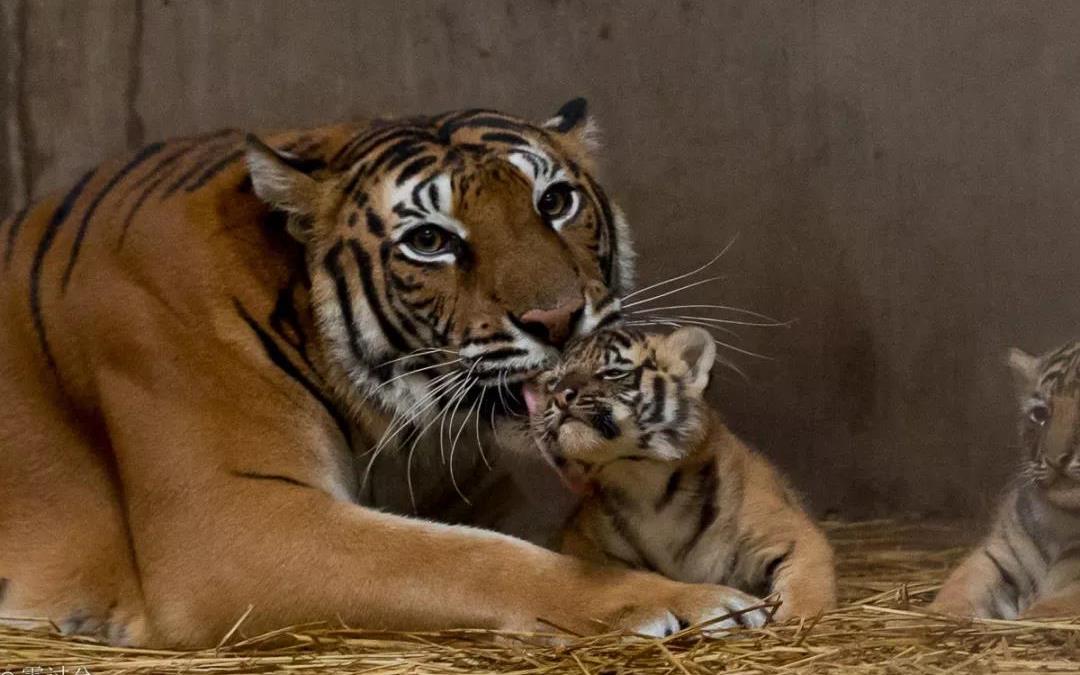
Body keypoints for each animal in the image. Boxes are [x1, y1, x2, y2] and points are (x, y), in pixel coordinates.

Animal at [0, 98, 760, 643]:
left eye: (553, 202)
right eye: (430, 241)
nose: (557, 319)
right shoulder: (233, 520)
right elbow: (470, 558)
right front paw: (686, 602)